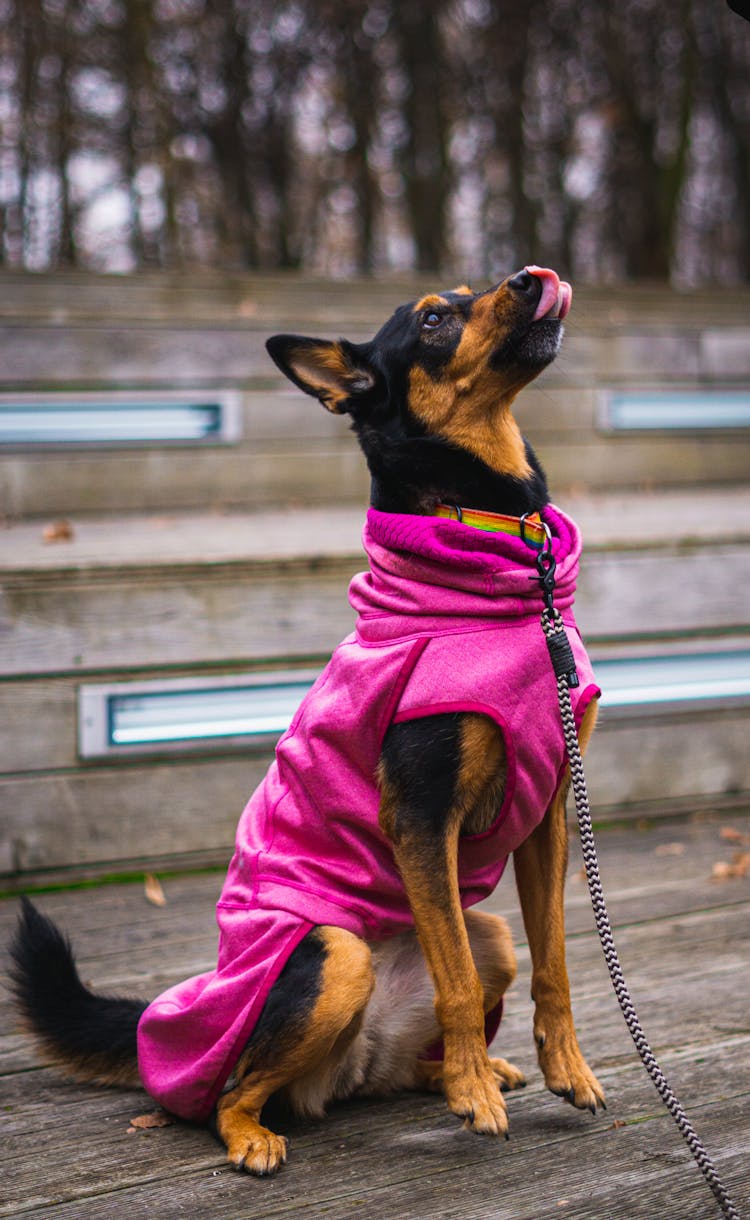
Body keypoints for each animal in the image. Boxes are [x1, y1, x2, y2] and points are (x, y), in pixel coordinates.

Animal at [10, 264, 604, 1171]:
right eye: (433, 320)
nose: (532, 275)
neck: (502, 546)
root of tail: (352, 1065)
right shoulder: (420, 818)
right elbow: (458, 983)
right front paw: (475, 1094)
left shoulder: (546, 814)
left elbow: (557, 963)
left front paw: (565, 1067)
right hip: (334, 954)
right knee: (226, 1092)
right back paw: (266, 1132)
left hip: (483, 932)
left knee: (431, 1023)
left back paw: (456, 1073)